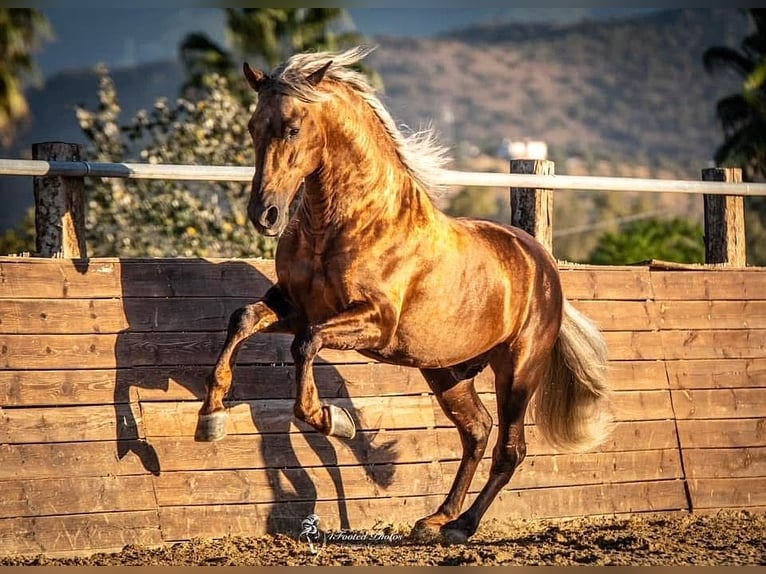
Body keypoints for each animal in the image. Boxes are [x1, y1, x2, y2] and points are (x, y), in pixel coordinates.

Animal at [195, 45, 616, 544]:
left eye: (293, 128)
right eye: (253, 127)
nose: (265, 214)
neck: (348, 222)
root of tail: (543, 265)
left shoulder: (374, 322)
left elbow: (307, 345)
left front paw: (332, 419)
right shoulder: (296, 306)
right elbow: (242, 319)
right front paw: (211, 416)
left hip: (518, 370)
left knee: (510, 449)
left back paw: (461, 527)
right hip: (447, 372)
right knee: (477, 431)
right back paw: (435, 518)